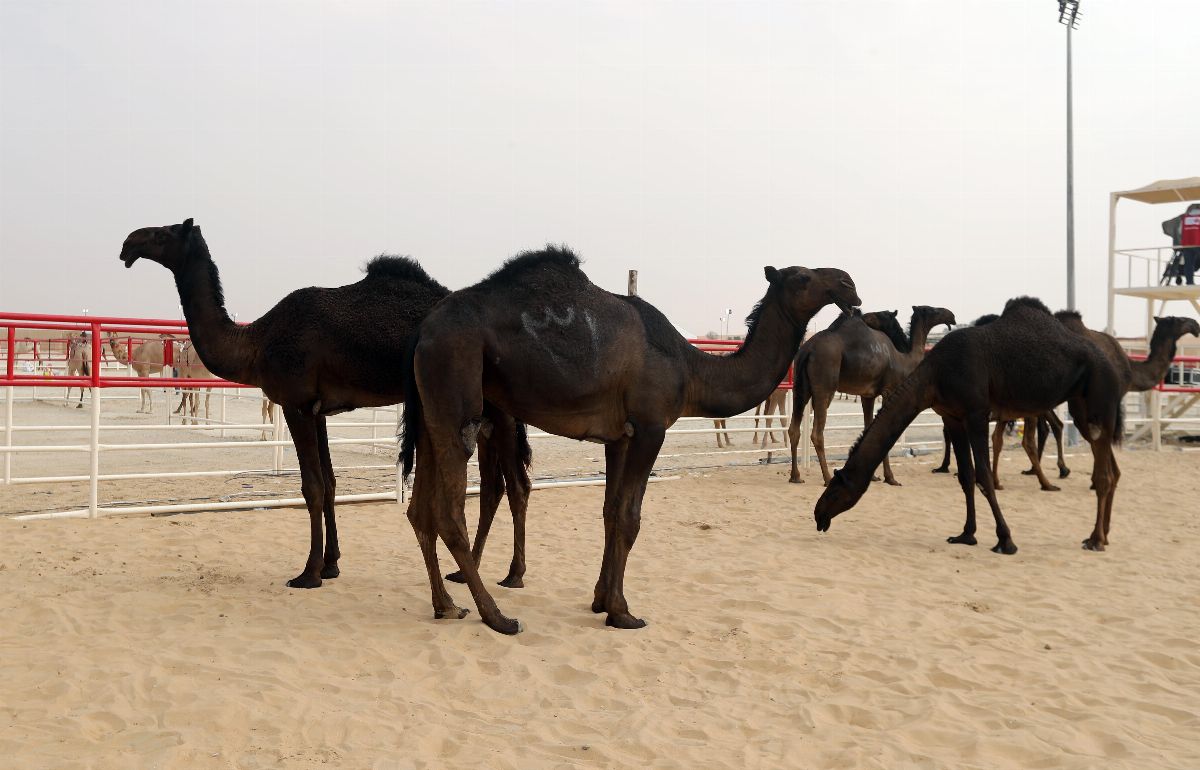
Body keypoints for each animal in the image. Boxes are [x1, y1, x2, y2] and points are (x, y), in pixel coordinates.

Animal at [120, 215, 530, 587]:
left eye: (163, 233)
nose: (127, 244)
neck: (256, 342)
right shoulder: (318, 410)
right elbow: (330, 482)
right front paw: (331, 564)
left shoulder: (295, 404)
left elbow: (312, 486)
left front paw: (309, 573)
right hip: (481, 410)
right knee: (493, 486)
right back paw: (465, 571)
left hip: (497, 408)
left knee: (517, 484)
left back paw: (513, 575)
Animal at [403, 249, 864, 633]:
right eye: (802, 277)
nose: (848, 283)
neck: (691, 369)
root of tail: (424, 331)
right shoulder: (650, 426)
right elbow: (630, 517)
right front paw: (623, 612)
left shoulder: (618, 436)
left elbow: (610, 513)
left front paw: (600, 600)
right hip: (456, 389)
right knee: (450, 512)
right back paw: (497, 616)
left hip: (429, 408)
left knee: (420, 509)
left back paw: (447, 605)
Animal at [787, 302, 955, 482]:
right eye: (932, 310)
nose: (951, 316)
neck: (903, 359)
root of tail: (807, 350)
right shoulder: (889, 390)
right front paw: (890, 477)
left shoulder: (868, 395)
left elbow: (869, 429)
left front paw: (873, 476)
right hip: (824, 386)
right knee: (817, 433)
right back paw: (827, 477)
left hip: (800, 388)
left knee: (794, 429)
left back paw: (795, 476)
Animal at [811, 297, 1128, 554]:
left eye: (836, 488)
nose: (818, 515)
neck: (933, 374)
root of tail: (1115, 360)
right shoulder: (953, 417)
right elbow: (965, 476)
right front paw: (966, 534)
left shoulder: (976, 414)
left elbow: (984, 475)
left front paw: (1005, 540)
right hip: (1083, 409)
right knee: (1110, 468)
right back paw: (1103, 535)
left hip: (1098, 400)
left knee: (1103, 473)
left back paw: (1095, 539)